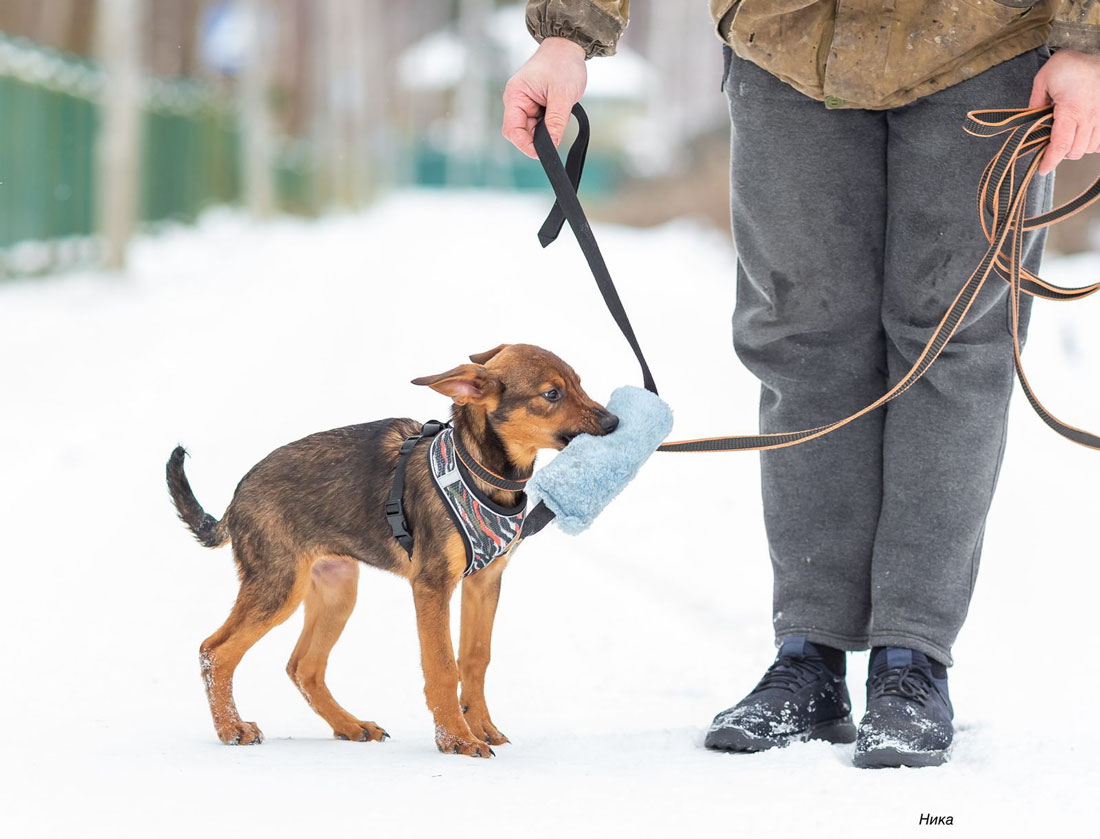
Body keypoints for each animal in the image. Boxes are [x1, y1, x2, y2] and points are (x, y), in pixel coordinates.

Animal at [169, 345, 620, 756]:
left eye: (579, 384)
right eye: (552, 394)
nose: (614, 421)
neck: (480, 468)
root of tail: (237, 496)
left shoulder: (484, 582)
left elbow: (475, 659)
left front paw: (482, 728)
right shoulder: (432, 585)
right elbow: (443, 665)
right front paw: (456, 740)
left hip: (337, 589)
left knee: (304, 667)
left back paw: (350, 726)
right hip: (278, 585)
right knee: (215, 651)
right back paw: (232, 729)